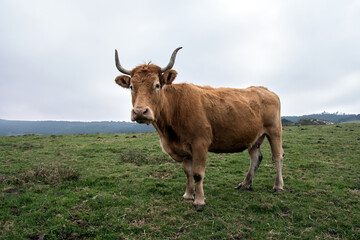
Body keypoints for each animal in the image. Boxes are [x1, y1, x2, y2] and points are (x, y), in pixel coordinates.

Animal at [114, 47, 282, 208]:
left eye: (157, 85)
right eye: (131, 86)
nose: (140, 112)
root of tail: (264, 90)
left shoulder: (200, 143)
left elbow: (197, 174)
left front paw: (199, 200)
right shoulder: (184, 148)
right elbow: (188, 173)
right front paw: (188, 195)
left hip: (274, 131)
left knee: (277, 157)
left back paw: (278, 186)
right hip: (255, 137)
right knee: (255, 158)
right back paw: (245, 184)